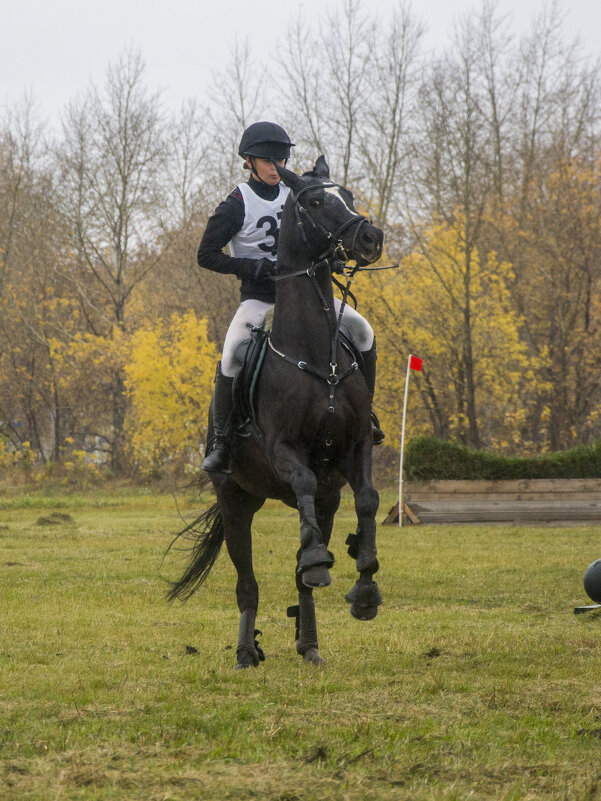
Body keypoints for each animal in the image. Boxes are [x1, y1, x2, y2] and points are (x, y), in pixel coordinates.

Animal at [168, 156, 384, 668]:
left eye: (348, 193)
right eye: (316, 201)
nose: (371, 238)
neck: (316, 358)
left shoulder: (355, 448)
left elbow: (368, 499)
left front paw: (365, 588)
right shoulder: (284, 449)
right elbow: (302, 478)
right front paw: (321, 562)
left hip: (325, 501)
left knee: (301, 572)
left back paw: (310, 645)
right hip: (235, 501)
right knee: (247, 584)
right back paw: (247, 651)